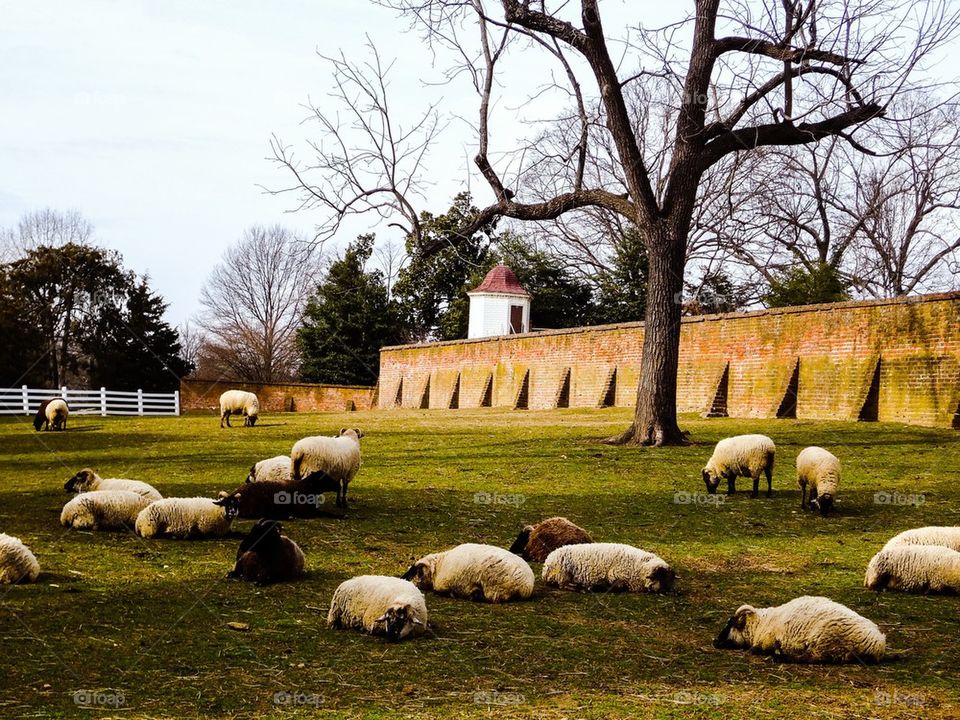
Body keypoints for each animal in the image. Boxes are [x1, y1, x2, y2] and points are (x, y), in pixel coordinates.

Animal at [402, 543, 534, 603]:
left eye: (415, 572)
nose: (403, 580)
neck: (440, 564)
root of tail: (526, 585)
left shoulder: (443, 584)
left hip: (494, 586)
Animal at [542, 542, 675, 593]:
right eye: (661, 577)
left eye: (671, 580)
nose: (671, 592)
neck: (640, 566)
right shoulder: (616, 575)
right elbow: (615, 587)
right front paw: (594, 587)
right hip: (562, 572)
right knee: (563, 584)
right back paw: (579, 587)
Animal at [713, 595, 885, 664]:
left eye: (730, 625)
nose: (714, 641)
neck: (762, 623)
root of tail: (878, 644)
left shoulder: (765, 641)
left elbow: (754, 650)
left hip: (825, 642)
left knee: (809, 658)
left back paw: (780, 656)